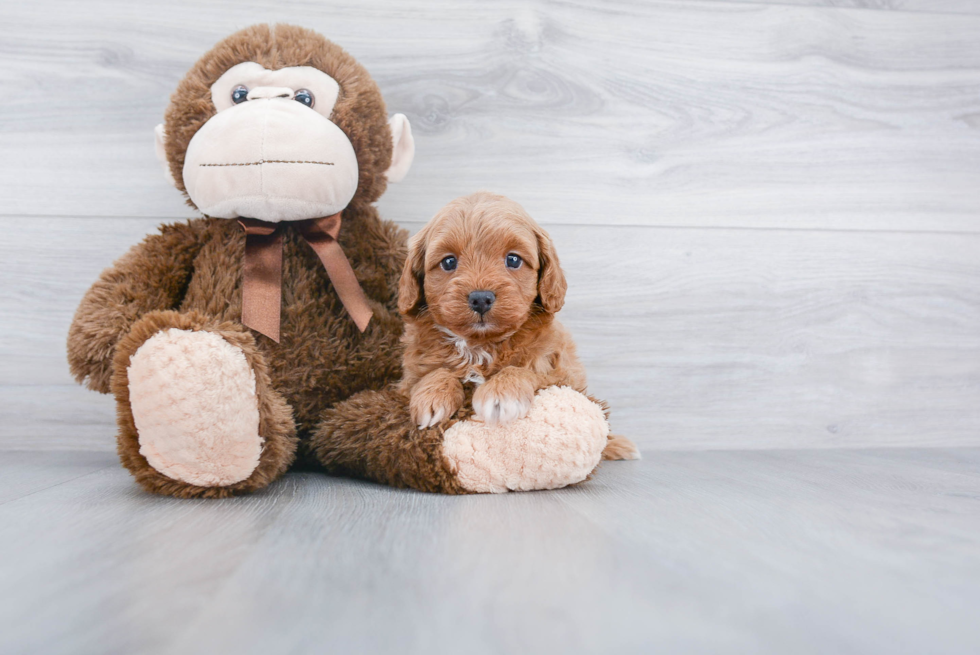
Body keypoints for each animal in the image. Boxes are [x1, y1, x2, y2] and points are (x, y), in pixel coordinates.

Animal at [394, 192, 640, 462]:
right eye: (448, 262)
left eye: (513, 259)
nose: (481, 298)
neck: (481, 345)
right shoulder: (408, 379)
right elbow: (434, 373)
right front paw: (432, 395)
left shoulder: (561, 375)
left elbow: (527, 372)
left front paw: (502, 393)